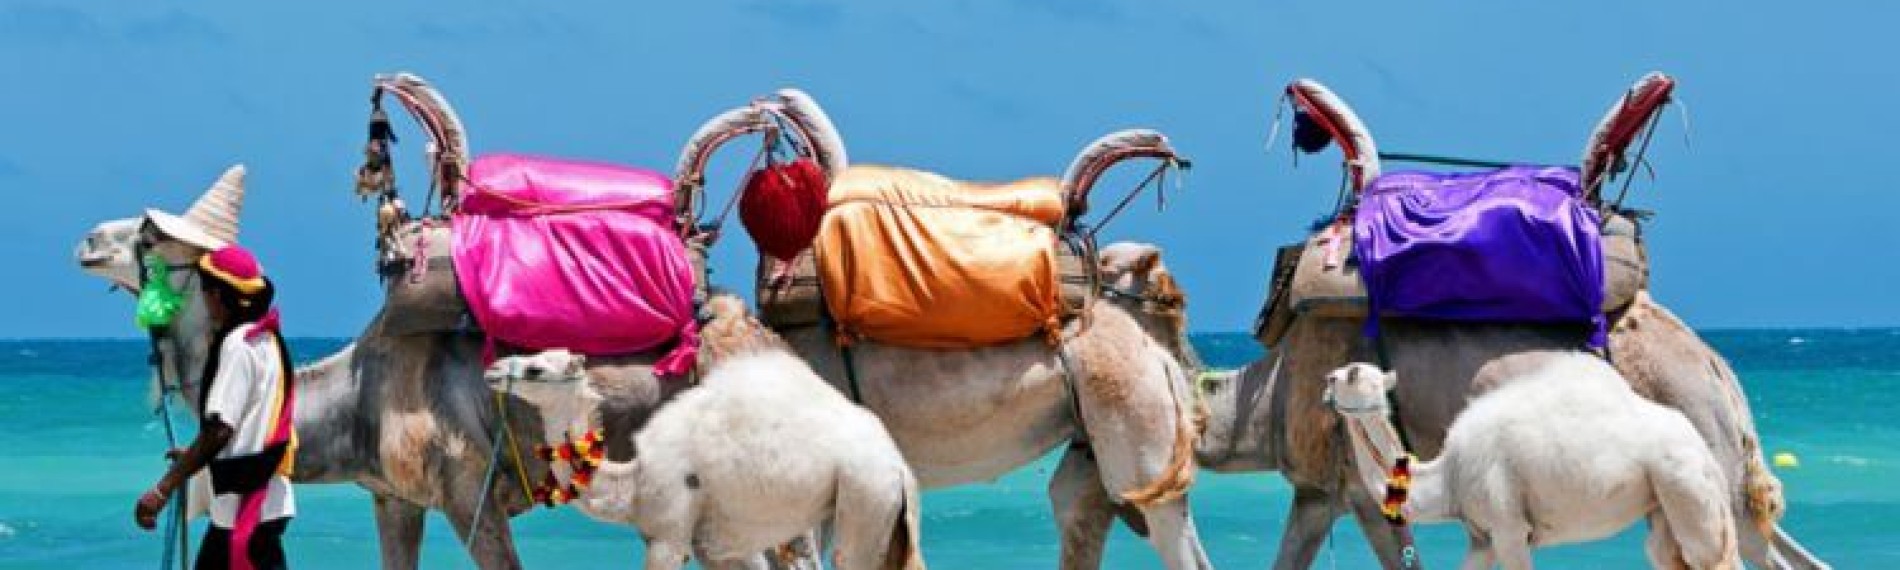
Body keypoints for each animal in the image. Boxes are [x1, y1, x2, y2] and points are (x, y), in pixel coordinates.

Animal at [485, 294, 923, 570]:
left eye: (535, 369)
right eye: (532, 354)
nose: (492, 370)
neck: (634, 479)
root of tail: (900, 467)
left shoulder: (669, 535)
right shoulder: (721, 548)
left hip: (864, 494)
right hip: (879, 517)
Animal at [675, 90, 1210, 569]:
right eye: (1171, 300)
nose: (1197, 375)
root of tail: (1157, 355)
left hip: (1134, 420)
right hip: (1100, 430)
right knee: (1081, 508)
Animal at [1324, 360, 1739, 570]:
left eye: (1341, 376)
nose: (1324, 388)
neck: (1448, 474)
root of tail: (1701, 445)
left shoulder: (1509, 527)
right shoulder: (1482, 538)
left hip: (1683, 482)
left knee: (1710, 556)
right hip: (1664, 503)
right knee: (1667, 555)